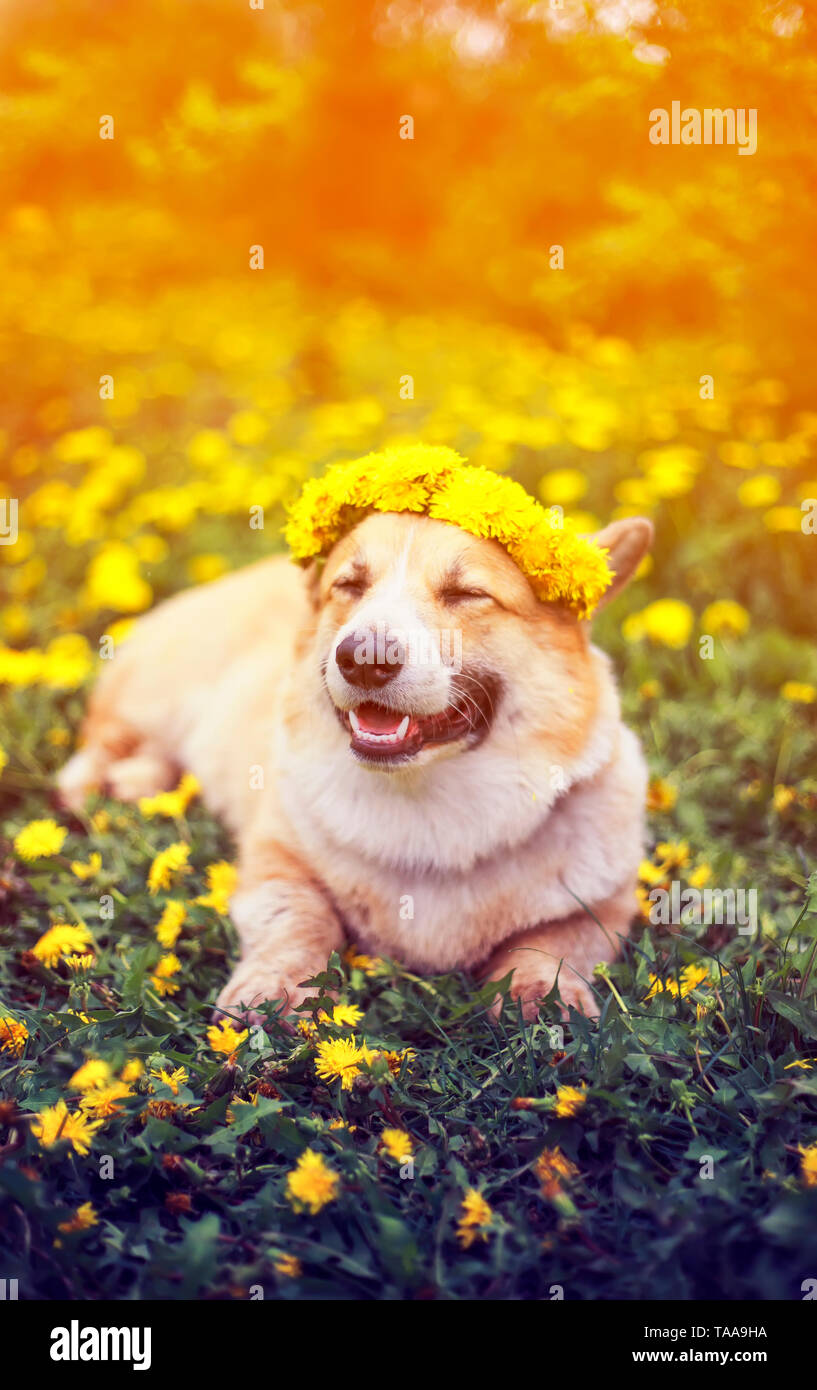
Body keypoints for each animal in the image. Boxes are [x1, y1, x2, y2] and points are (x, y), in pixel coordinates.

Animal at [57, 505, 653, 1017]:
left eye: (466, 593)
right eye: (349, 586)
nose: (364, 659)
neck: (428, 799)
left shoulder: (602, 905)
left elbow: (550, 943)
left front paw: (541, 1000)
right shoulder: (277, 862)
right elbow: (301, 919)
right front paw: (275, 988)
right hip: (153, 698)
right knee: (104, 738)